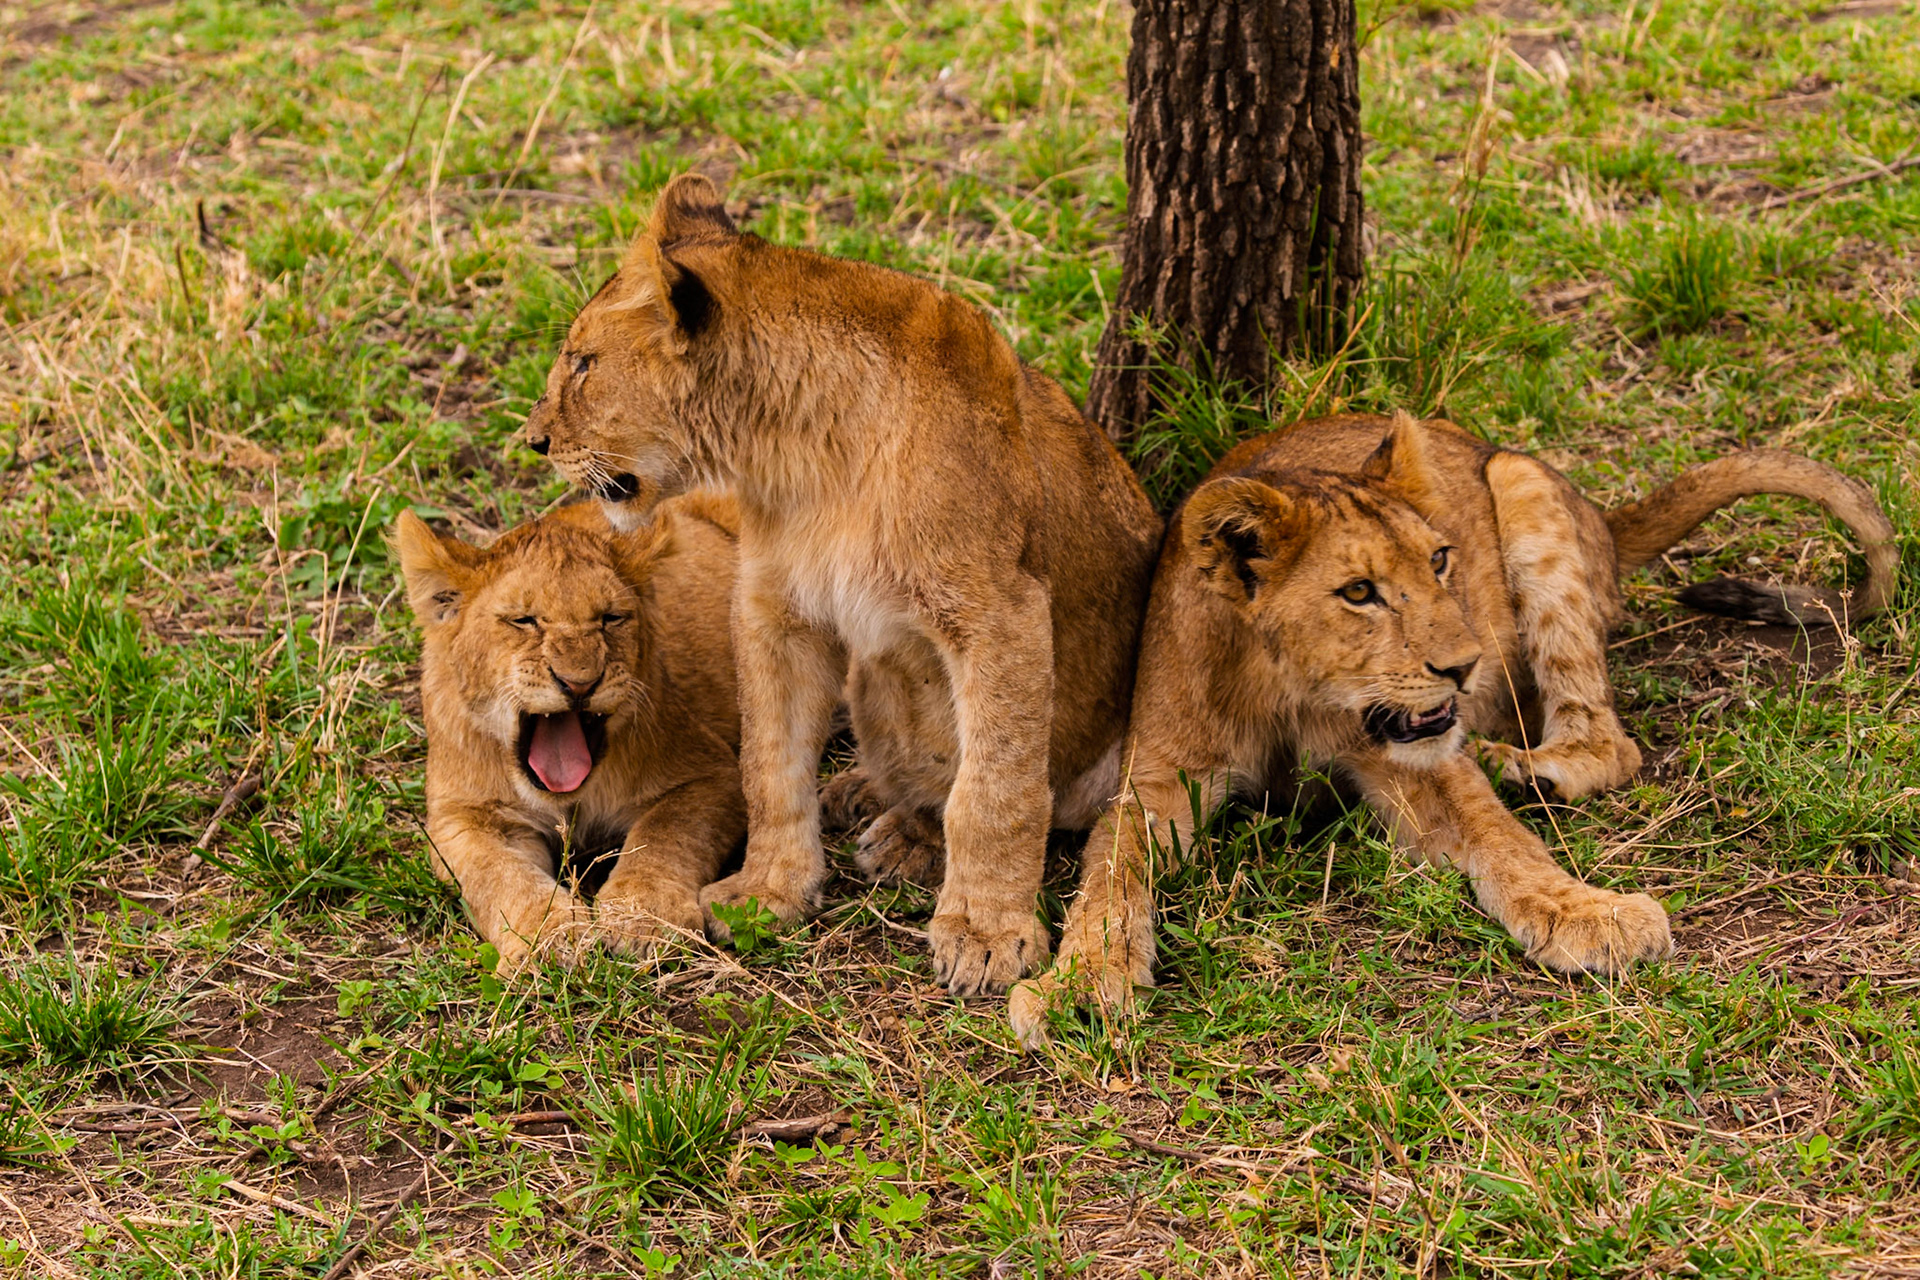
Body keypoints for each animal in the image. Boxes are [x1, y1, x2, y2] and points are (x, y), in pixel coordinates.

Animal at [393, 493, 746, 975]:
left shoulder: (712, 775)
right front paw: (550, 937)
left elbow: (664, 836)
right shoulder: (463, 816)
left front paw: (643, 918)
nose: (579, 683)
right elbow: (500, 874)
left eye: (611, 618)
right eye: (524, 620)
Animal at [520, 173, 1163, 996]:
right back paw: (861, 797)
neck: (801, 447)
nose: (535, 441)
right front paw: (770, 890)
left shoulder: (1004, 613)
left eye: (582, 362)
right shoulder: (775, 609)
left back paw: (903, 837)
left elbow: (996, 788)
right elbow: (770, 764)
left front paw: (986, 934)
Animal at [1009, 411, 1896, 1046]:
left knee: (1608, 740)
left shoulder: (1416, 757)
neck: (1293, 689)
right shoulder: (1158, 779)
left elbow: (1503, 839)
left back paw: (1526, 767)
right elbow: (1111, 875)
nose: (1466, 667)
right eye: (1359, 592)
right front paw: (1080, 983)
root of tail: (1603, 517)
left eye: (1439, 560)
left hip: (1522, 485)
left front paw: (1588, 914)